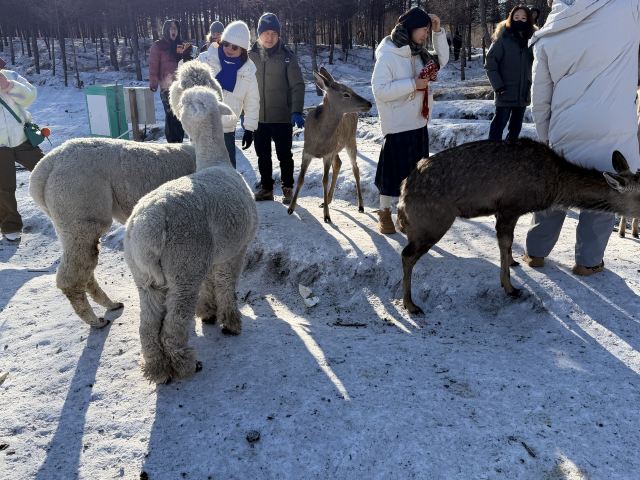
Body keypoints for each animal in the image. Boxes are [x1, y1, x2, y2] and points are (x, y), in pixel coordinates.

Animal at [287, 67, 372, 223]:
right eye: (346, 93)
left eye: (351, 89)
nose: (369, 103)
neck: (319, 139)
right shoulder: (306, 152)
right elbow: (301, 179)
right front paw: (291, 208)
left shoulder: (327, 154)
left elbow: (324, 181)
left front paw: (327, 216)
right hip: (336, 148)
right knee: (338, 163)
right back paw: (328, 200)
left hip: (350, 140)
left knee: (355, 168)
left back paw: (360, 206)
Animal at [397, 138, 640, 315]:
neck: (554, 186)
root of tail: (404, 188)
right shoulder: (510, 206)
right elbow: (505, 242)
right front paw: (510, 287)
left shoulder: (503, 210)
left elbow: (508, 244)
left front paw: (513, 264)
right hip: (433, 219)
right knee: (407, 254)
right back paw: (410, 304)